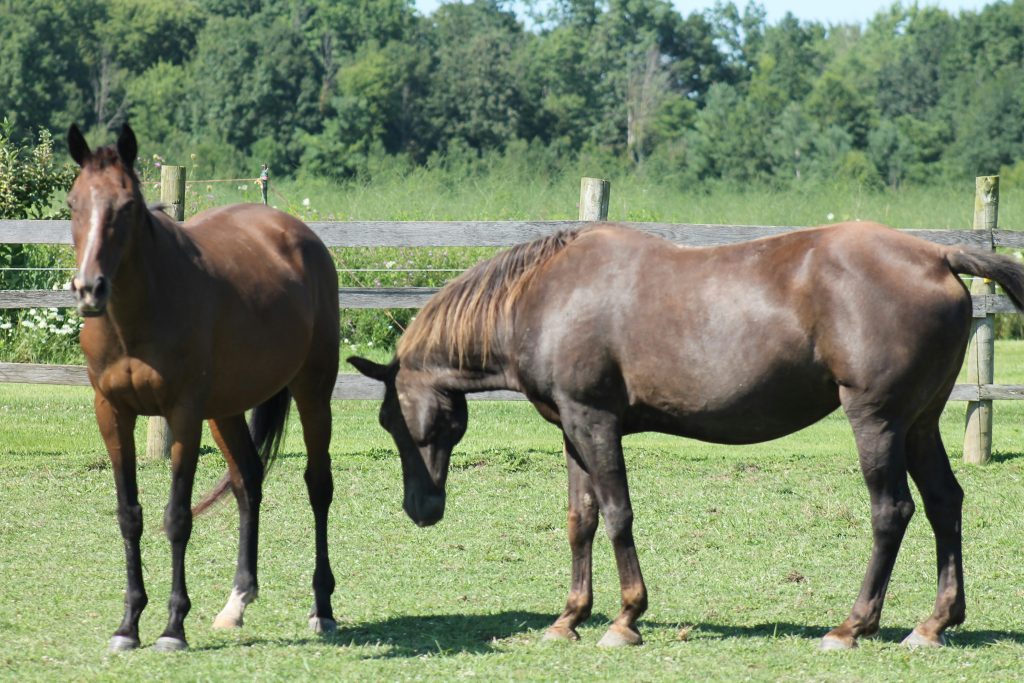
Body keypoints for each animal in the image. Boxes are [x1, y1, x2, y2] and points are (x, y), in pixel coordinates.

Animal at [66, 125, 342, 655]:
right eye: (73, 202)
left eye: (127, 206)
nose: (90, 289)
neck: (139, 314)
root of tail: (296, 233)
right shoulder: (111, 413)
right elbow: (129, 514)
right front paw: (128, 624)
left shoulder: (183, 415)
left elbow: (176, 517)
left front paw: (173, 627)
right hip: (227, 411)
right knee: (248, 482)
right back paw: (236, 602)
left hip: (313, 393)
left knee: (318, 487)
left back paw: (323, 608)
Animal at [352, 220, 1024, 651]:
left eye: (397, 420)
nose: (420, 508)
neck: (543, 296)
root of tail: (937, 257)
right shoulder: (572, 428)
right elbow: (581, 519)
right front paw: (568, 618)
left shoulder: (596, 422)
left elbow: (618, 513)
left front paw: (625, 619)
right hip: (920, 424)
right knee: (944, 504)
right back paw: (932, 625)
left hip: (877, 421)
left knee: (893, 510)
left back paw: (851, 627)